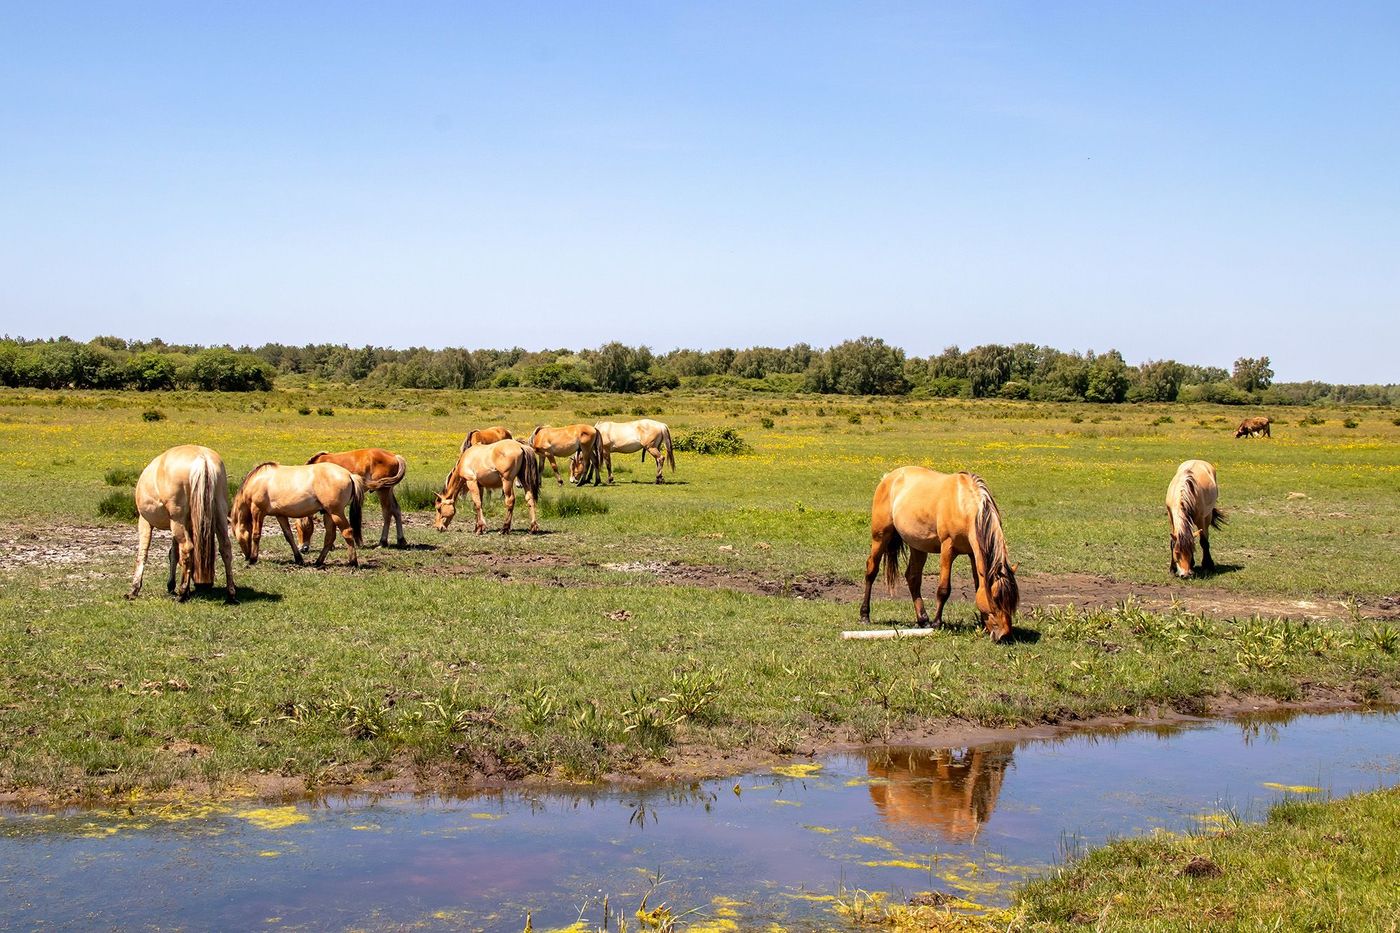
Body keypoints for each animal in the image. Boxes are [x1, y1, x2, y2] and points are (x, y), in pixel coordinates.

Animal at [127, 444, 237, 603]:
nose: (205, 586)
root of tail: (202, 459)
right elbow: (174, 553)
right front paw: (172, 584)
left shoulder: (145, 521)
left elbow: (143, 553)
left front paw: (134, 589)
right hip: (219, 514)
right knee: (226, 548)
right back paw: (231, 594)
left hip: (177, 521)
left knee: (187, 548)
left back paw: (182, 592)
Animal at [232, 462, 364, 567]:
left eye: (236, 537)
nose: (246, 557)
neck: (256, 481)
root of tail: (349, 475)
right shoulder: (280, 515)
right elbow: (289, 536)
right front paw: (298, 558)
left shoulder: (258, 511)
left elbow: (256, 535)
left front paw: (253, 559)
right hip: (328, 514)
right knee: (330, 537)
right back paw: (318, 562)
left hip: (336, 513)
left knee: (347, 532)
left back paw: (353, 562)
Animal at [859, 467, 1019, 642]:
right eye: (996, 598)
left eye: (1012, 601)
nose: (1005, 635)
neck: (964, 505)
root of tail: (888, 477)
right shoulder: (947, 548)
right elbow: (943, 589)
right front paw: (937, 623)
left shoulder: (972, 553)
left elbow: (979, 585)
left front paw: (983, 625)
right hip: (880, 537)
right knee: (871, 571)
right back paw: (865, 615)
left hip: (917, 545)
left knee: (912, 577)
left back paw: (923, 620)